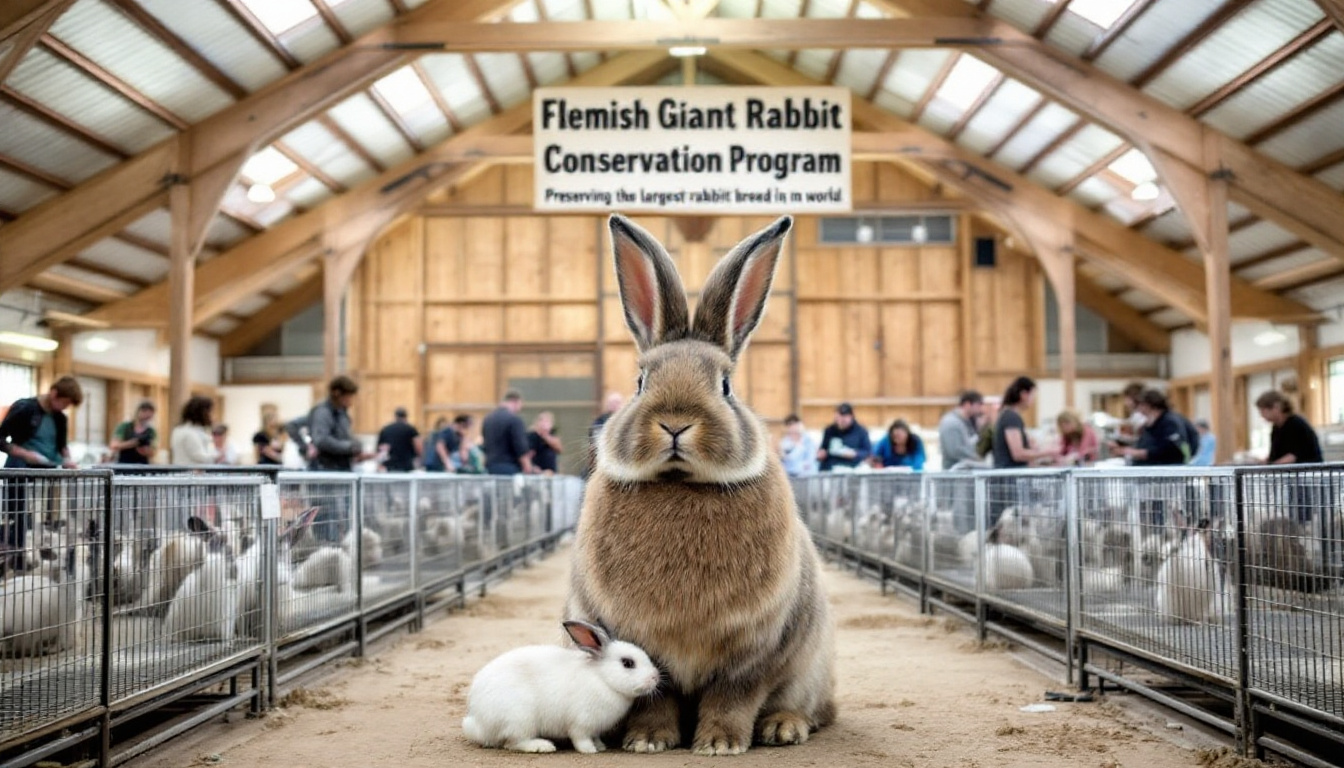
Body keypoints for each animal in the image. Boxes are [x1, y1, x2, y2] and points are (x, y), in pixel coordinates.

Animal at [462, 621, 661, 753]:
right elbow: (581, 739)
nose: (655, 677)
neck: (603, 679)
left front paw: (601, 746)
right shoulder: (580, 724)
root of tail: (478, 721)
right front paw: (590, 750)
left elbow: (595, 737)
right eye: (628, 663)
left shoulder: (594, 728)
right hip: (520, 719)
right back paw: (543, 746)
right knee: (512, 743)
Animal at [564, 215, 833, 758]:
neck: (680, 484)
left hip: (809, 668)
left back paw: (783, 727)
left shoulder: (754, 650)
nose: (675, 422)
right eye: (641, 380)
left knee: (811, 709)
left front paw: (720, 744)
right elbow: (655, 692)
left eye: (725, 385)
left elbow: (734, 696)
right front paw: (648, 741)